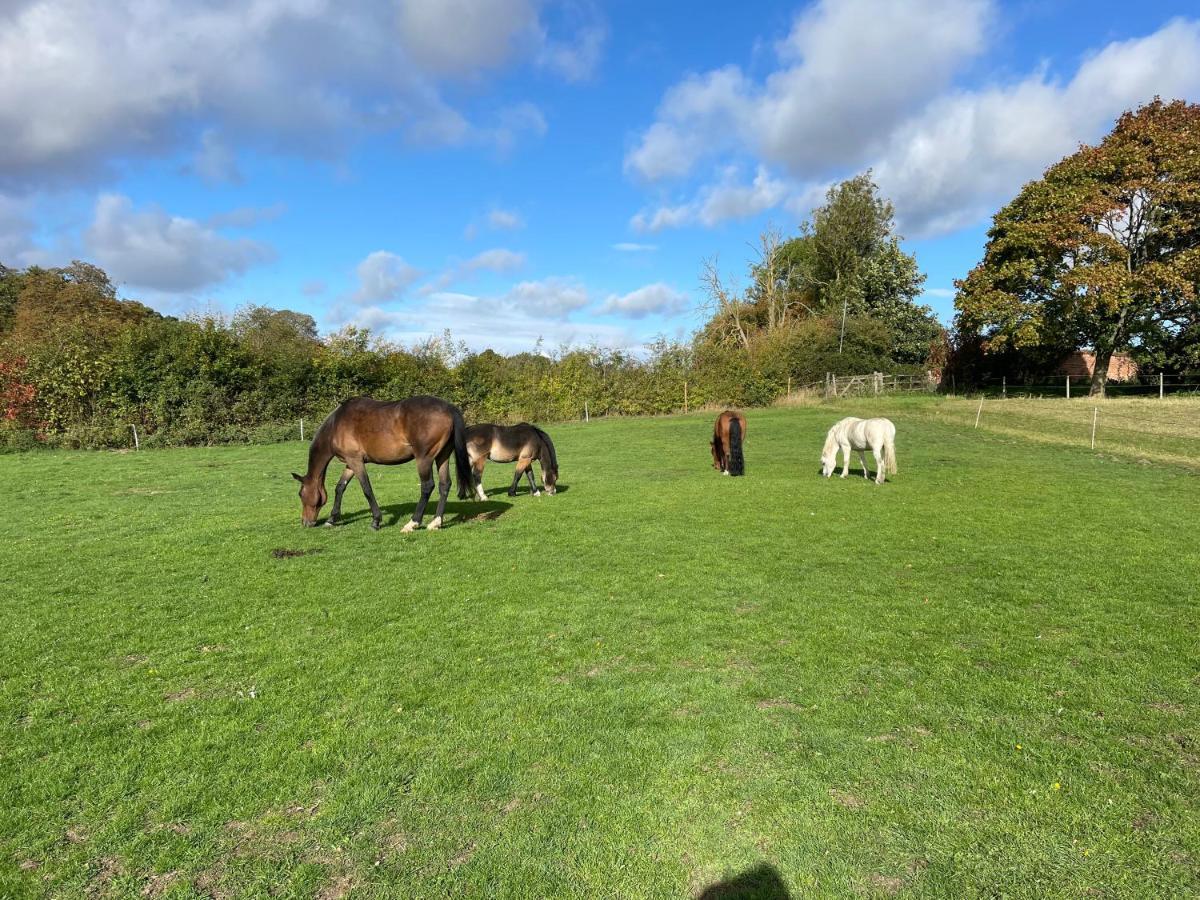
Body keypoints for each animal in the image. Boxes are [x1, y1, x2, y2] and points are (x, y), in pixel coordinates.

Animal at [291, 393, 472, 528]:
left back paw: (413, 523)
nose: (305, 522)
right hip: (442, 456)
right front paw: (332, 519)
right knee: (444, 485)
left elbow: (366, 489)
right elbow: (340, 488)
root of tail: (449, 408)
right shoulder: (351, 462)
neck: (336, 425)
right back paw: (436, 522)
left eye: (300, 494)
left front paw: (376, 520)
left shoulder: (356, 461)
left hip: (424, 459)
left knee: (427, 486)